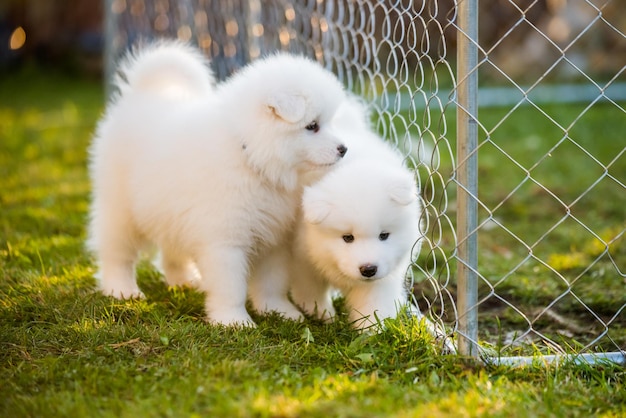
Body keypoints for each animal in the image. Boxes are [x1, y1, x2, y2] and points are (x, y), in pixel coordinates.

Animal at [88, 41, 346, 326]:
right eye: (312, 126)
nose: (343, 149)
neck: (250, 157)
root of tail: (141, 94)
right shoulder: (225, 241)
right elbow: (232, 286)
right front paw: (234, 321)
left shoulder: (274, 238)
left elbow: (271, 281)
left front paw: (280, 311)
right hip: (121, 210)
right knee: (117, 253)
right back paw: (122, 290)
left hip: (169, 212)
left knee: (171, 250)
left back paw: (184, 281)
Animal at [290, 96, 422, 328]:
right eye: (347, 237)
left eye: (384, 235)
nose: (368, 269)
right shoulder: (305, 258)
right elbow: (310, 291)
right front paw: (323, 315)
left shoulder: (384, 274)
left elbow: (372, 303)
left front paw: (373, 329)